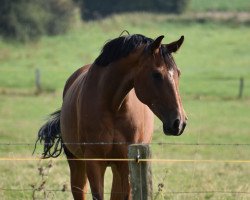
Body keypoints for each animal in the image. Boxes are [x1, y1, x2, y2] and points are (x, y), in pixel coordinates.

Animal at [36, 33, 187, 199]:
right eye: (157, 74)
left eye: (178, 73)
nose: (179, 122)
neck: (114, 108)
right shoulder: (94, 162)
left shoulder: (126, 162)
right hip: (77, 164)